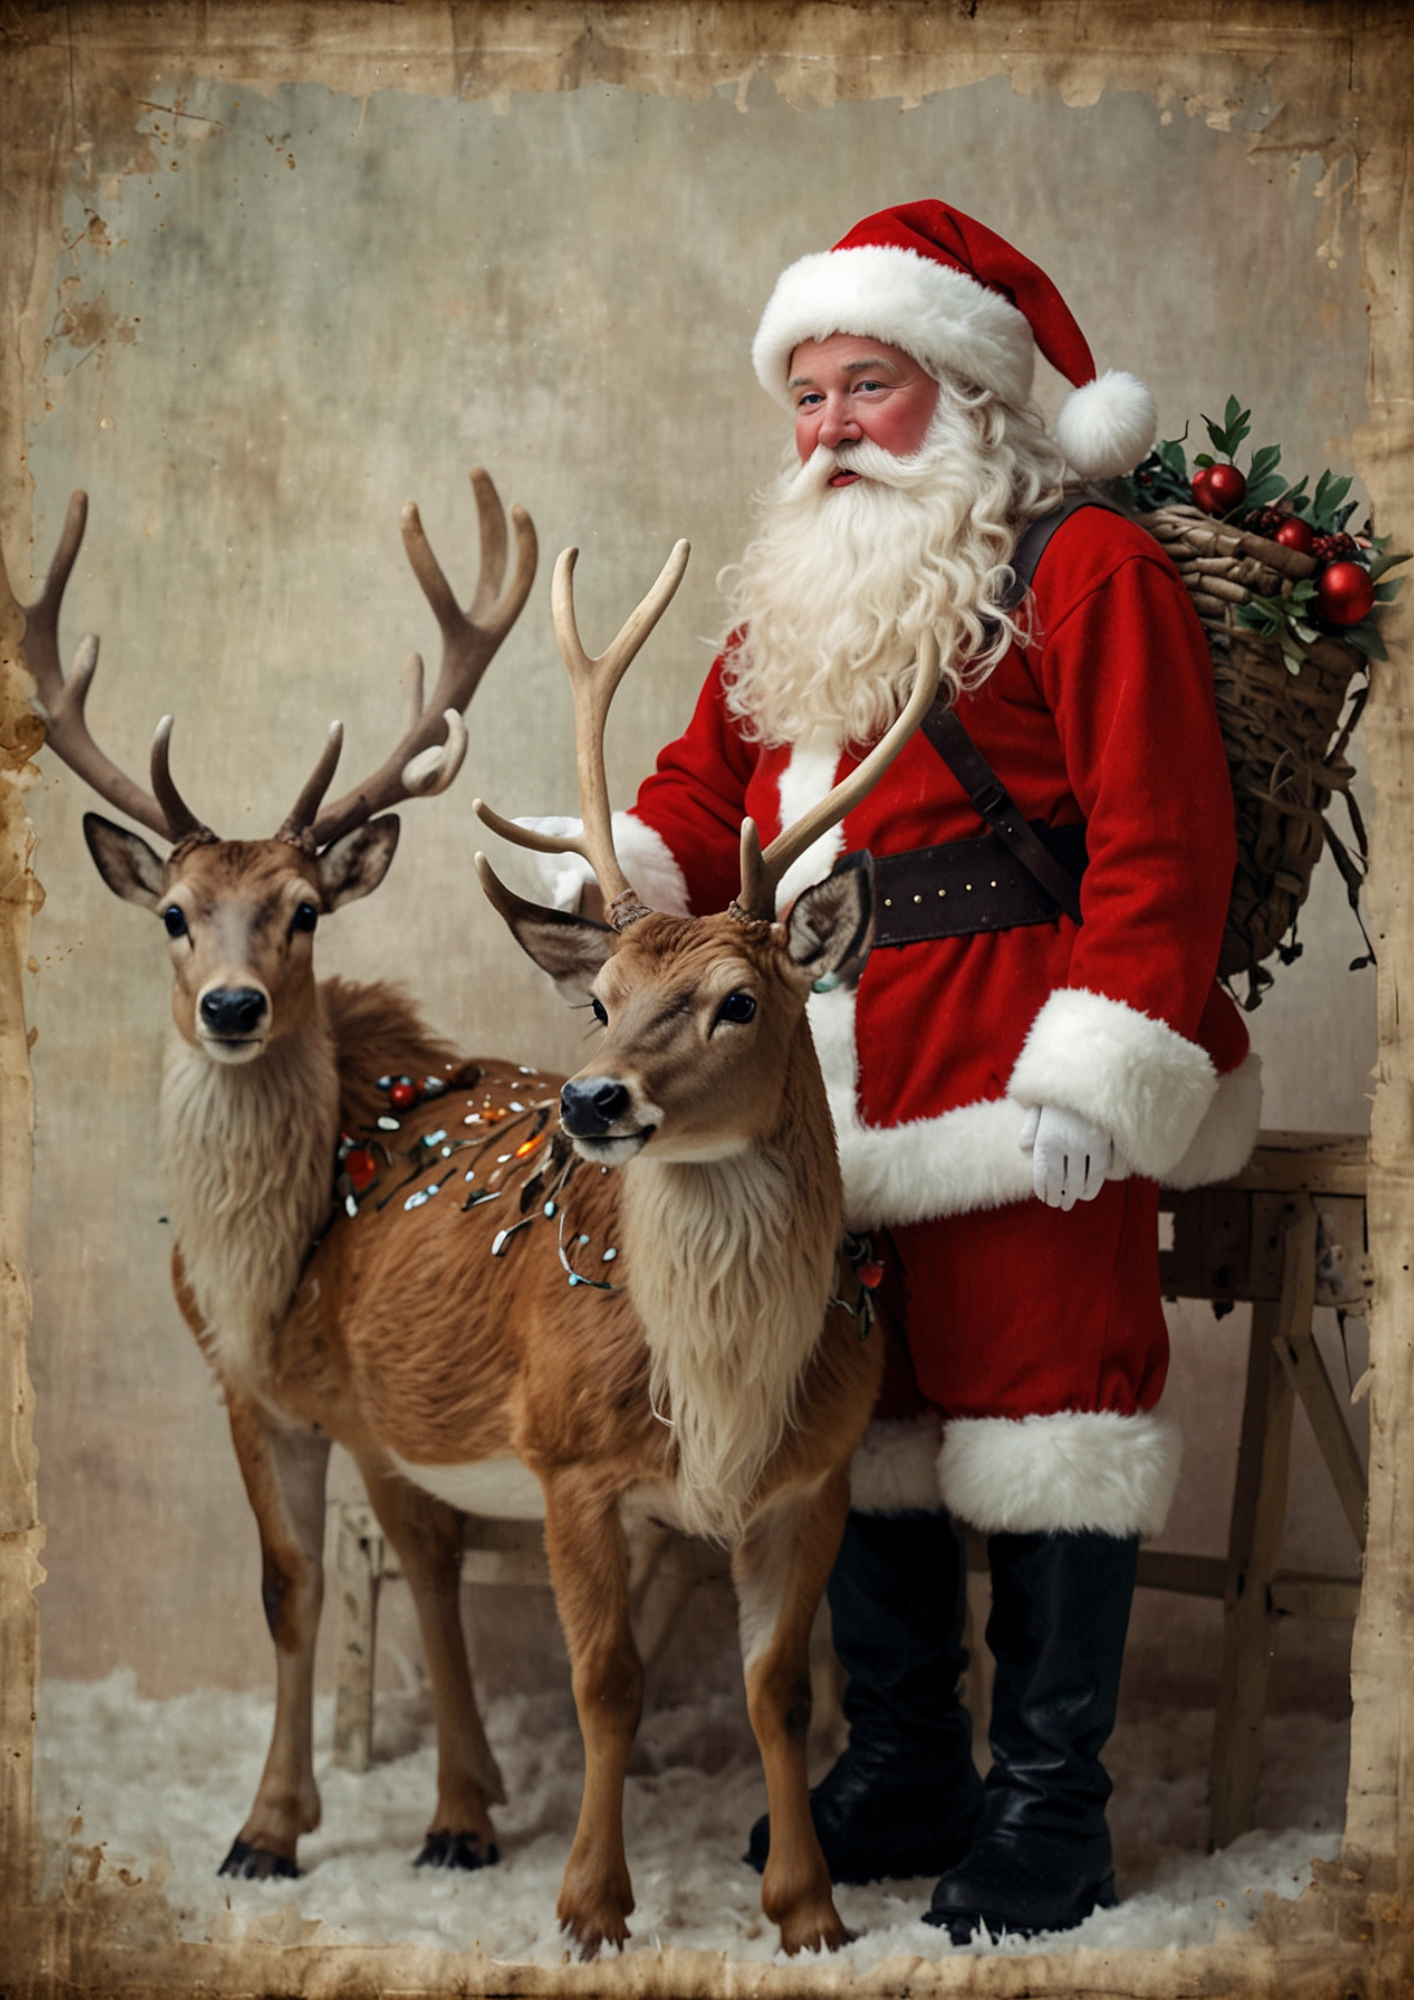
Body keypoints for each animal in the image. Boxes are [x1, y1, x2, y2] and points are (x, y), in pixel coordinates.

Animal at [24, 471, 538, 1881]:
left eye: (305, 908)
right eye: (173, 913)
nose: (234, 1004)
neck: (270, 1278)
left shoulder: (386, 1393)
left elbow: (428, 1565)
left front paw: (461, 1813)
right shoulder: (244, 1389)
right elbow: (286, 1584)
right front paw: (265, 1825)